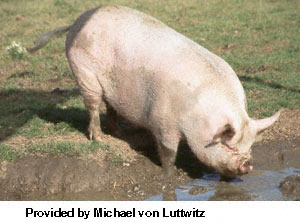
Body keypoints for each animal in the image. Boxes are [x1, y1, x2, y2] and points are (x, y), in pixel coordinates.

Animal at [27, 6, 278, 178]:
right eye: (227, 144)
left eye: (250, 145)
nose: (247, 165)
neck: (198, 114)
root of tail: (78, 21)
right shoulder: (162, 120)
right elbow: (168, 151)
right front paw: (169, 174)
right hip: (84, 72)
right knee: (93, 105)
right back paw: (98, 138)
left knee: (110, 105)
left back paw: (118, 131)